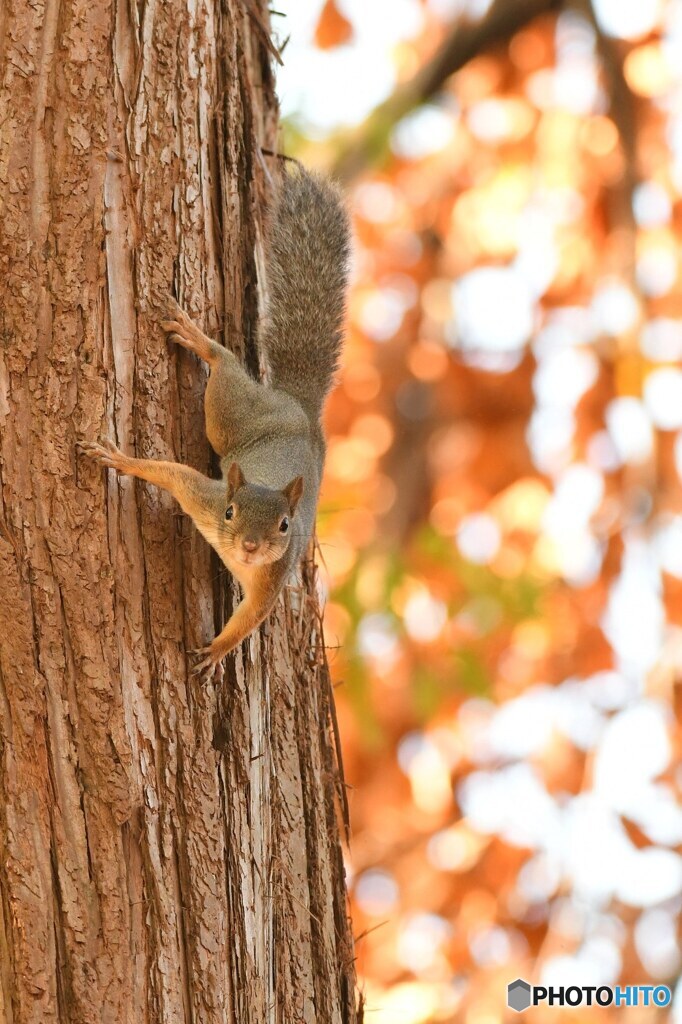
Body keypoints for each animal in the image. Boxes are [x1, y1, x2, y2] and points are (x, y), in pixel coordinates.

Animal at [80, 167, 350, 675]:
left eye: (285, 525)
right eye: (230, 512)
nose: (249, 546)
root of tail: (299, 407)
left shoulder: (272, 579)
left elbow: (250, 620)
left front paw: (216, 650)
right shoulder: (203, 498)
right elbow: (171, 475)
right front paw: (119, 459)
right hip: (232, 414)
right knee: (223, 366)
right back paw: (197, 338)